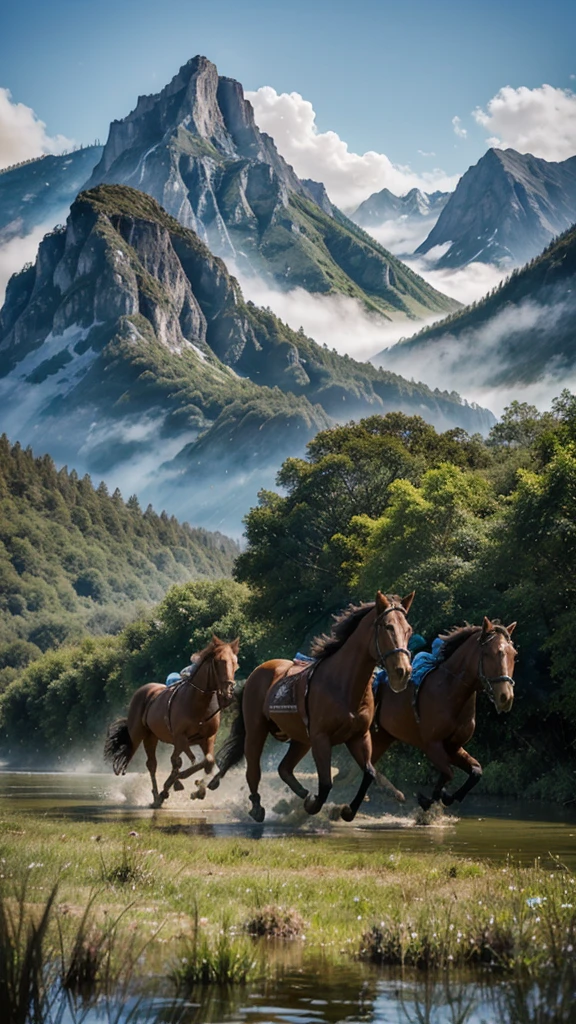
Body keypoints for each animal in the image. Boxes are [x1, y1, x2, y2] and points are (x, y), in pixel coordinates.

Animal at [103, 630, 237, 806]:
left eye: (235, 663)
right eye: (219, 661)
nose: (228, 693)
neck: (198, 703)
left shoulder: (207, 738)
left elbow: (207, 761)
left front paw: (198, 789)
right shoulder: (180, 737)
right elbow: (186, 761)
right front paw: (178, 781)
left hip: (153, 736)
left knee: (167, 762)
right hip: (141, 736)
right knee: (152, 764)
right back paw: (157, 796)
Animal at [206, 593, 412, 823]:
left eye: (408, 629)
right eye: (387, 626)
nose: (403, 672)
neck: (344, 685)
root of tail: (258, 671)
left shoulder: (359, 736)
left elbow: (369, 774)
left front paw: (348, 811)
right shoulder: (321, 738)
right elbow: (326, 783)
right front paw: (313, 805)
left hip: (301, 739)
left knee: (284, 768)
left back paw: (301, 794)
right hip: (256, 730)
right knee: (253, 768)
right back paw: (257, 807)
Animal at [373, 614, 516, 806]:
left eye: (513, 654)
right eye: (490, 653)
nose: (505, 697)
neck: (451, 690)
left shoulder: (453, 746)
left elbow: (476, 771)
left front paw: (448, 796)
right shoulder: (432, 745)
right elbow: (449, 773)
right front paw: (430, 799)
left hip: (382, 735)